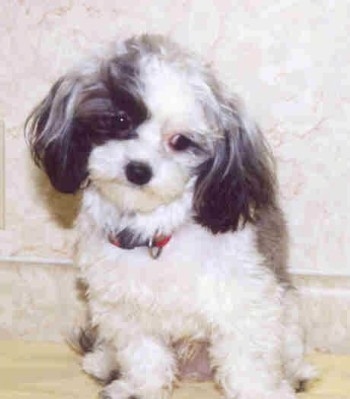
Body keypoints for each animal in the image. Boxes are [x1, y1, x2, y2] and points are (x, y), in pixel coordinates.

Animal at [26, 34, 314, 399]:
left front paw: (260, 390)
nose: (138, 170)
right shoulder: (125, 308)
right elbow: (143, 356)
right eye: (120, 121)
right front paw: (139, 389)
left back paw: (295, 375)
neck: (155, 232)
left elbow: (248, 361)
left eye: (180, 141)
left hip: (287, 311)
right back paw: (104, 363)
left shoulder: (244, 300)